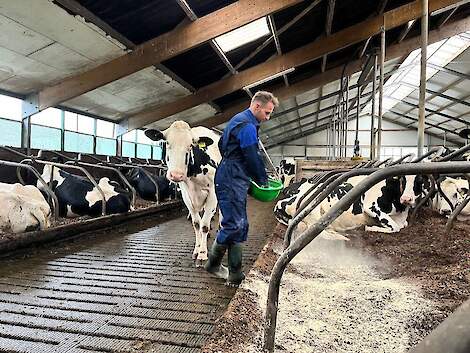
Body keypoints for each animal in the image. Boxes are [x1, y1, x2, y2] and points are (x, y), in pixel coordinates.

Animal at [146, 119, 221, 266]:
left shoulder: (213, 193)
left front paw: (202, 254)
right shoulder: (187, 195)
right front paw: (197, 249)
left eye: (190, 145)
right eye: (167, 142)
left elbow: (204, 225)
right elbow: (197, 224)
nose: (176, 175)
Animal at [274, 174, 420, 236]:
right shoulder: (371, 206)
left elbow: (402, 225)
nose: (407, 199)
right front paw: (370, 228)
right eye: (403, 180)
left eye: (419, 181)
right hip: (312, 211)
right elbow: (396, 228)